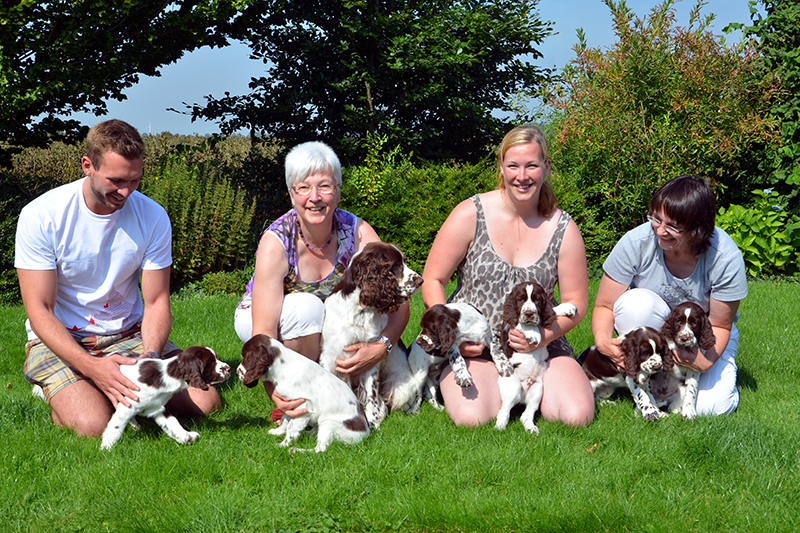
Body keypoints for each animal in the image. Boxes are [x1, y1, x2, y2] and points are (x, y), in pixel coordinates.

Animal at [101, 344, 230, 448]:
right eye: (210, 362)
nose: (229, 368)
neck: (166, 376)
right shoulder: (128, 405)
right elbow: (116, 426)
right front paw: (106, 448)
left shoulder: (156, 407)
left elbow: (172, 422)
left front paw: (186, 437)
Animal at [239, 334, 370, 450]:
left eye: (245, 357)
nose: (237, 371)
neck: (282, 367)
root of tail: (366, 433)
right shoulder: (290, 403)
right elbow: (285, 418)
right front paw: (277, 432)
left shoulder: (302, 406)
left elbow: (292, 427)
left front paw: (283, 444)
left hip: (329, 424)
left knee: (320, 449)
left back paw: (297, 450)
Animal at [320, 241, 424, 428]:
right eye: (396, 265)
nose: (421, 280)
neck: (360, 308)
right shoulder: (330, 355)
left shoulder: (368, 356)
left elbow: (371, 393)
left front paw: (372, 421)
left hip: (402, 387)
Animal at [494, 280, 576, 434]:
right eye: (520, 299)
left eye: (537, 299)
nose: (529, 314)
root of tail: (521, 398)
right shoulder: (509, 326)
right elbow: (520, 323)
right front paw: (533, 332)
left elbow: (552, 311)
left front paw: (567, 307)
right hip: (513, 387)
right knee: (504, 409)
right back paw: (500, 426)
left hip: (537, 390)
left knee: (526, 414)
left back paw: (531, 428)